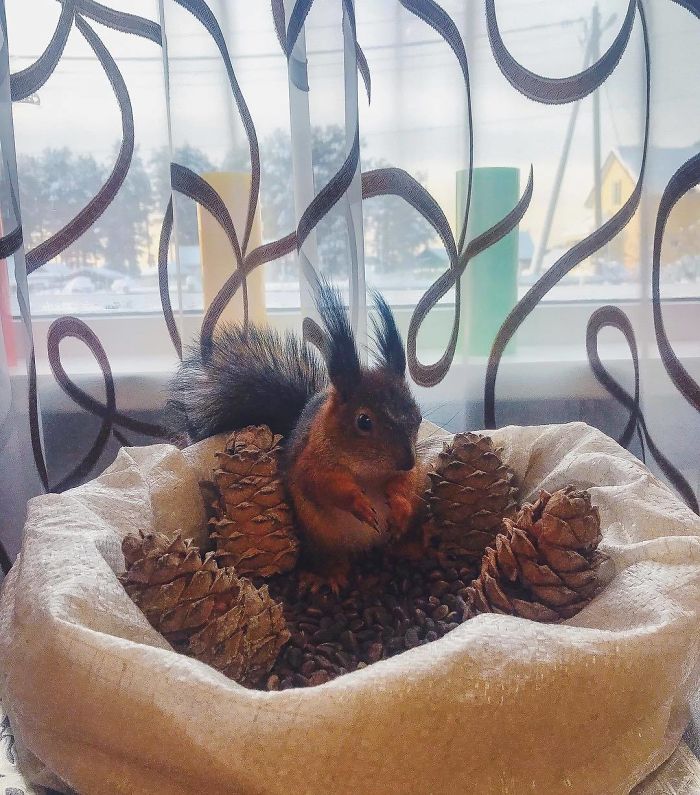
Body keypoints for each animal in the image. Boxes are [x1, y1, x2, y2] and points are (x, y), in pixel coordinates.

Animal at [167, 279, 424, 593]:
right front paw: (360, 504)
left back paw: (410, 548)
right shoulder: (312, 462)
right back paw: (328, 576)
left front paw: (399, 508)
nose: (408, 461)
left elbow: (404, 485)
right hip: (322, 541)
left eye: (418, 415)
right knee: (332, 561)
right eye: (364, 421)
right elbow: (326, 484)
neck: (368, 471)